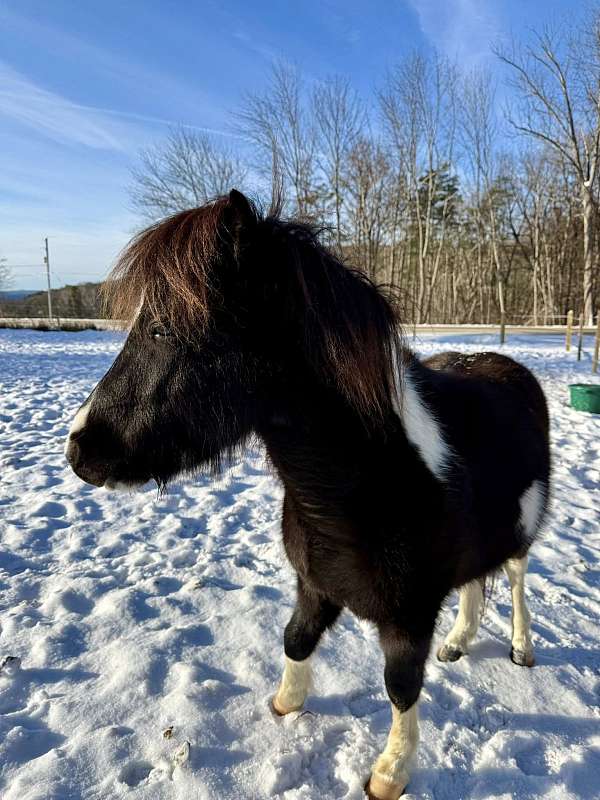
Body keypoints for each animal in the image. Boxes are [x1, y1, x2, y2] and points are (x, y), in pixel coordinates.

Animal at [65, 190, 551, 799]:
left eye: (163, 330)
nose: (79, 449)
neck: (366, 490)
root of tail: (508, 366)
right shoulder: (314, 585)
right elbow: (295, 640)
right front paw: (284, 706)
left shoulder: (409, 617)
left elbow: (401, 686)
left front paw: (390, 774)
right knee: (474, 585)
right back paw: (458, 642)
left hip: (520, 534)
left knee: (513, 579)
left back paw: (521, 647)